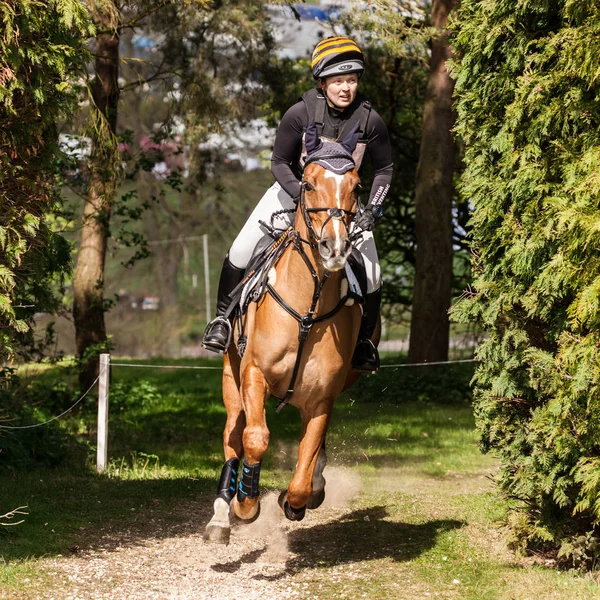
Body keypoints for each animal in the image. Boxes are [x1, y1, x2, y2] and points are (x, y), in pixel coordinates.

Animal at [207, 126, 376, 544]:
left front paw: (297, 499)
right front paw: (246, 504)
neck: (307, 307)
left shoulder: (322, 398)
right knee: (233, 436)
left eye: (356, 186)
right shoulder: (253, 374)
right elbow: (255, 439)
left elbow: (307, 457)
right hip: (231, 378)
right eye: (309, 185)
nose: (335, 247)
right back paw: (222, 513)